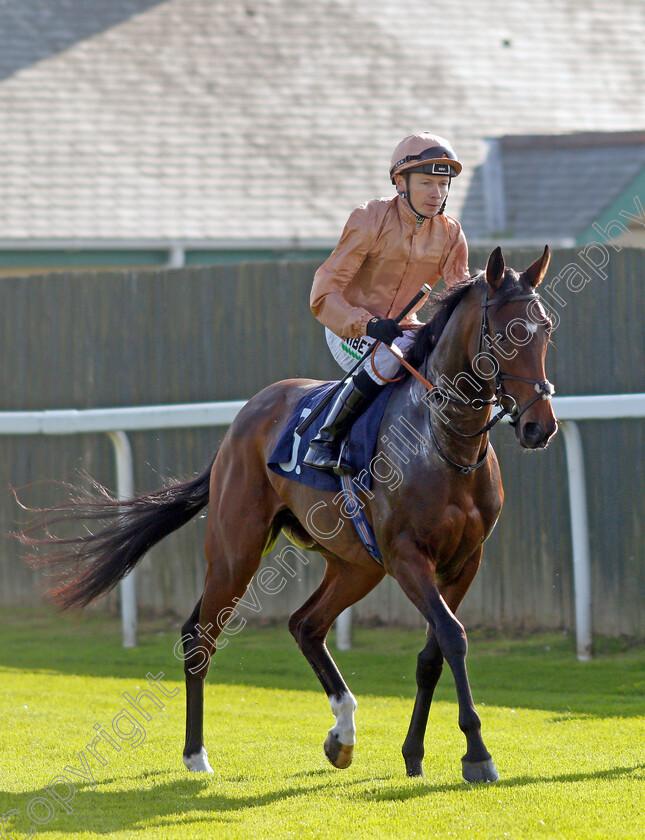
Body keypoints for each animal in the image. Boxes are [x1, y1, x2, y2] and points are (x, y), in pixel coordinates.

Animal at [18, 246, 552, 784]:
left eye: (546, 327)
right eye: (505, 332)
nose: (539, 426)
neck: (442, 443)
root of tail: (244, 417)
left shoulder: (465, 560)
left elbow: (433, 652)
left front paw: (414, 753)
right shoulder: (407, 555)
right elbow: (452, 636)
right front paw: (477, 753)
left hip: (356, 564)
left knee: (305, 625)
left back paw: (342, 735)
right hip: (237, 549)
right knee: (200, 635)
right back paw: (196, 755)